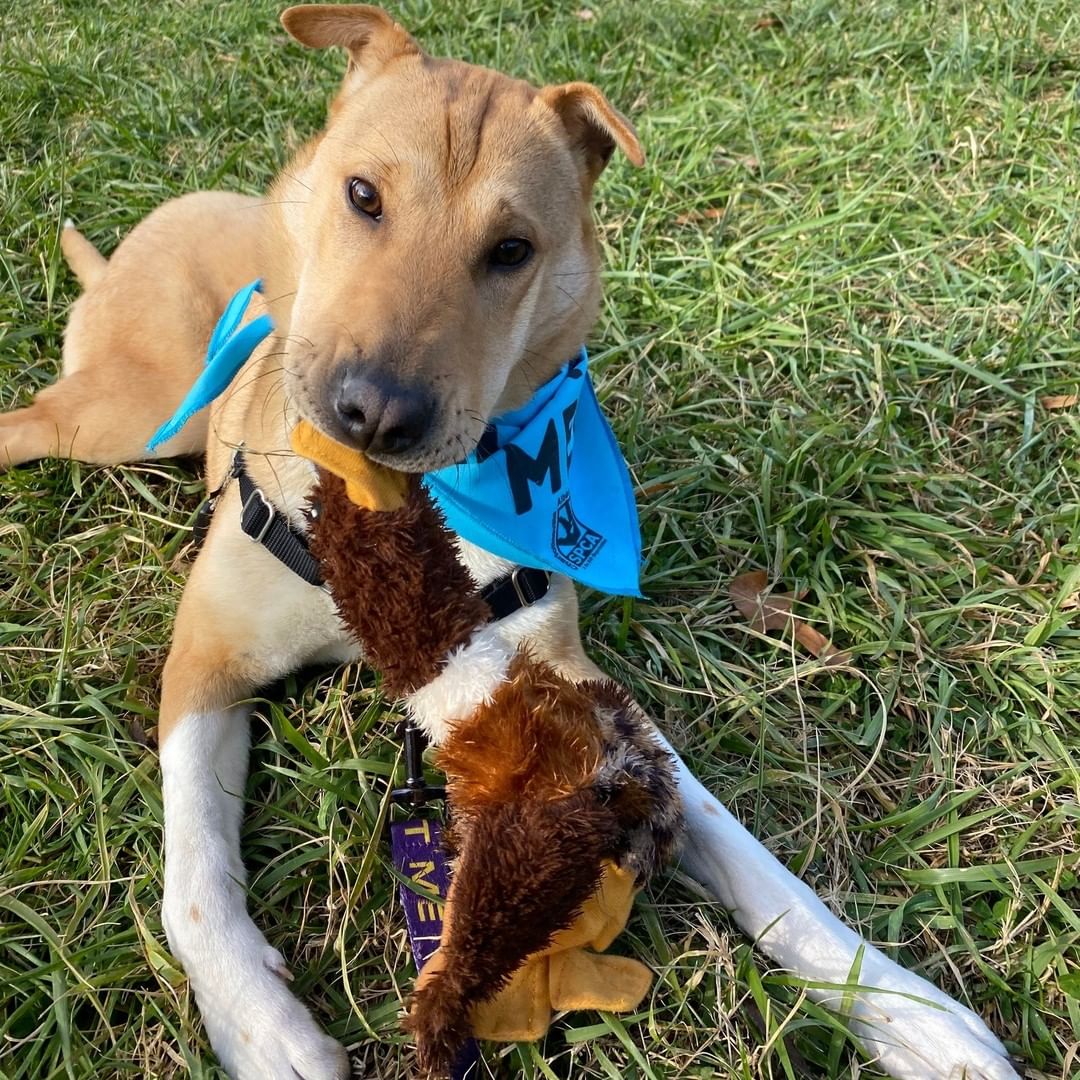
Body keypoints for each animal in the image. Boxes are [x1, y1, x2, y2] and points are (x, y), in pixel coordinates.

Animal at [0, 8, 1019, 1080]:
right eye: (363, 196)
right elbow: (193, 871)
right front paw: (261, 1026)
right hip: (122, 416)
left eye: (512, 249)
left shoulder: (564, 680)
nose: (375, 414)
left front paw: (904, 1013)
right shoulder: (205, 663)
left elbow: (758, 864)